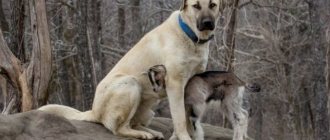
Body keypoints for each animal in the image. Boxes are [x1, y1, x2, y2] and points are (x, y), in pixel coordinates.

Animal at [38, 0, 224, 139]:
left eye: (212, 4)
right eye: (196, 6)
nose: (207, 23)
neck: (191, 36)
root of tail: (94, 111)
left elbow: (187, 115)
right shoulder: (175, 84)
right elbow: (179, 118)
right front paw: (184, 136)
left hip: (149, 107)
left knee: (133, 123)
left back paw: (152, 132)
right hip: (131, 83)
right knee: (118, 128)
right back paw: (142, 134)